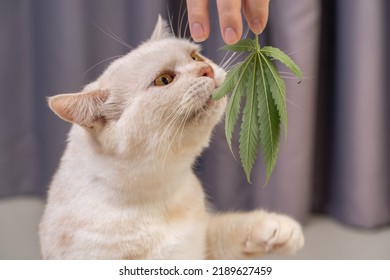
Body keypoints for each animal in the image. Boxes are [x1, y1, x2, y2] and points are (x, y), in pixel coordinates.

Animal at [38, 15, 304, 260]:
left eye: (195, 57)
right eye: (164, 80)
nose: (206, 70)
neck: (162, 199)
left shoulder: (202, 248)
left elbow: (227, 229)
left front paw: (277, 229)